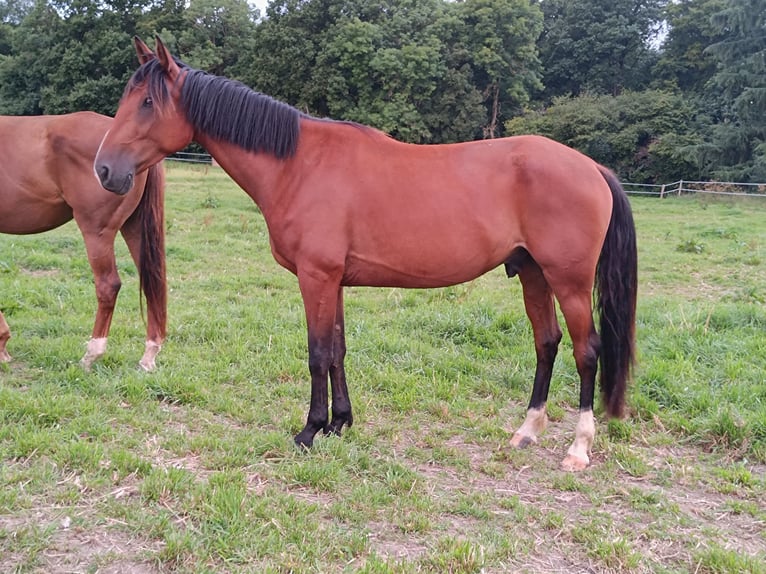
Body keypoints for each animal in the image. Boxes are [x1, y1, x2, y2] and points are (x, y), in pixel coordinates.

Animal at [0, 112, 167, 374]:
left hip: (97, 232)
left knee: (108, 286)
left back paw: (91, 355)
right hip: (135, 227)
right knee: (152, 281)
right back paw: (148, 356)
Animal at [93, 38, 640, 472]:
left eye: (147, 102)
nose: (104, 170)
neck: (298, 164)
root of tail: (592, 167)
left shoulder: (315, 277)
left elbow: (317, 354)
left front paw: (309, 431)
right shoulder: (333, 280)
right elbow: (337, 351)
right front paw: (340, 424)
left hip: (568, 281)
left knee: (586, 351)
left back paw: (577, 449)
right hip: (533, 274)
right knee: (546, 344)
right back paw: (526, 432)